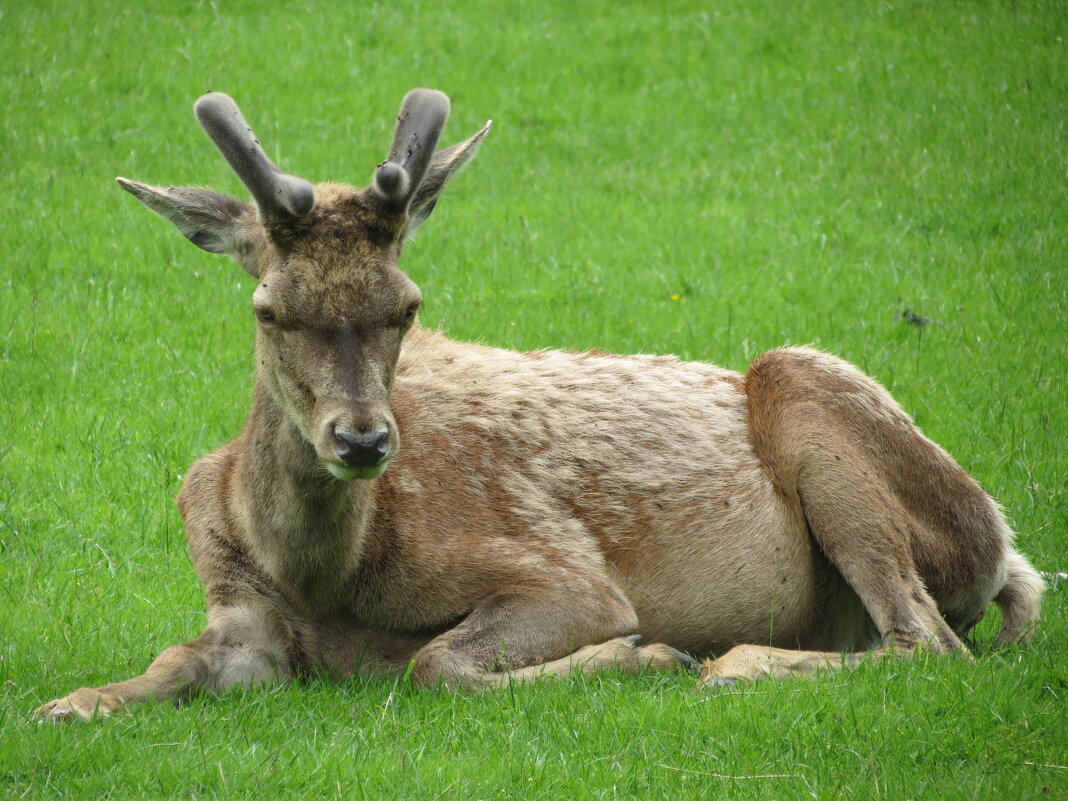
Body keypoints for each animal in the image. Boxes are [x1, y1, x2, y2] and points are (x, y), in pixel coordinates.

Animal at [33, 90, 1042, 726]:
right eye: (269, 309)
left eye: (409, 305)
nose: (363, 440)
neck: (325, 580)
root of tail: (1004, 547)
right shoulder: (239, 611)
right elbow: (174, 661)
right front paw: (69, 703)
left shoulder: (561, 571)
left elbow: (436, 662)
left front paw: (643, 653)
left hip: (812, 394)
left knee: (927, 641)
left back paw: (726, 663)